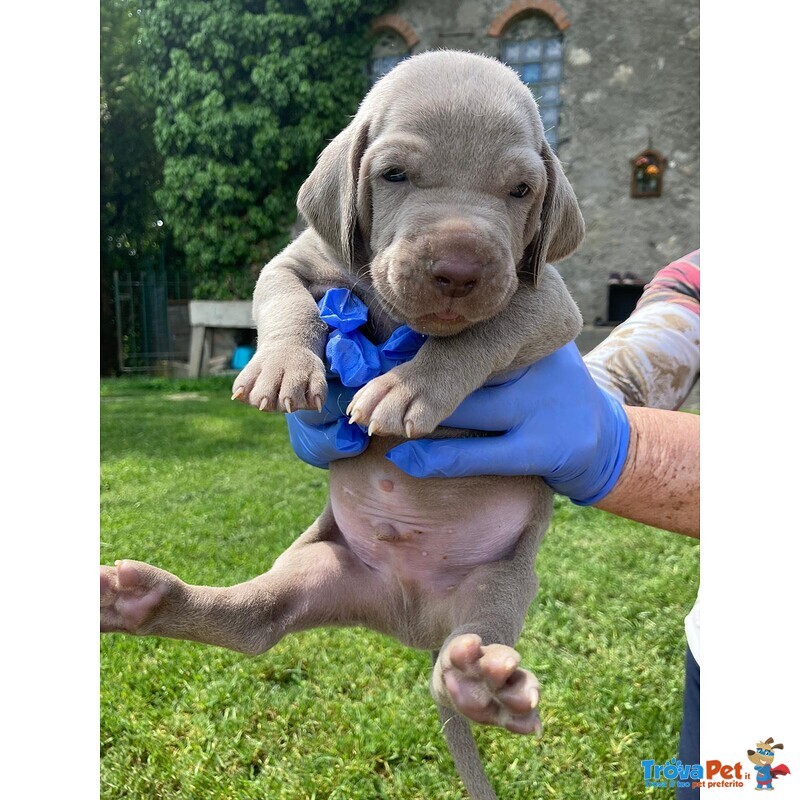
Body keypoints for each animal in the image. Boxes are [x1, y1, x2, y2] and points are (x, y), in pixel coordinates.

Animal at [101, 51, 588, 800]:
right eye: (394, 175)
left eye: (520, 190)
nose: (459, 269)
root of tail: (409, 618)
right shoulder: (295, 260)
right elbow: (286, 303)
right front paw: (282, 365)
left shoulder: (547, 301)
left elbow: (481, 334)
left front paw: (408, 387)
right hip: (321, 572)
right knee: (254, 623)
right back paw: (144, 602)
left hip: (500, 585)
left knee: (473, 643)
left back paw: (479, 685)